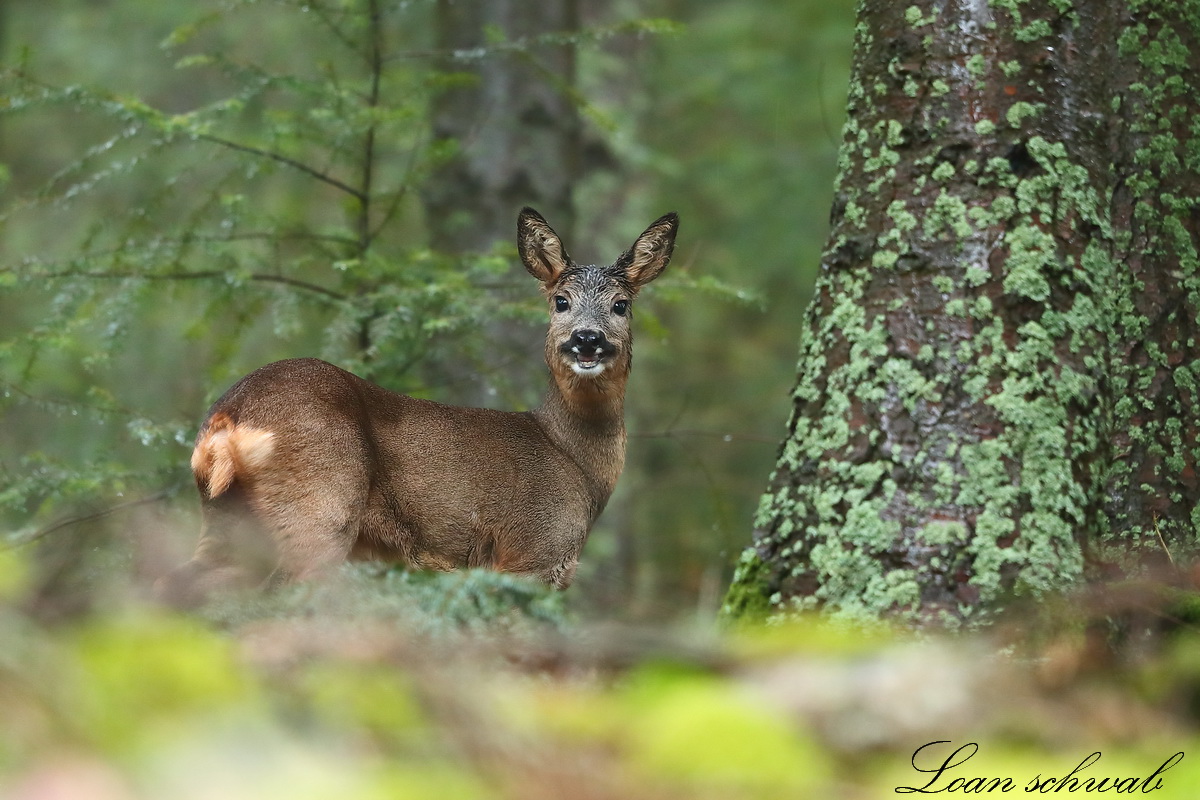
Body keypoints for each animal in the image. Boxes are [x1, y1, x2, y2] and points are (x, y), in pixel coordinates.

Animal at [156, 206, 681, 606]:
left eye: (621, 305)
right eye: (561, 301)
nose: (587, 340)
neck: (575, 461)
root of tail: (226, 421)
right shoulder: (533, 550)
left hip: (226, 517)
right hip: (320, 505)